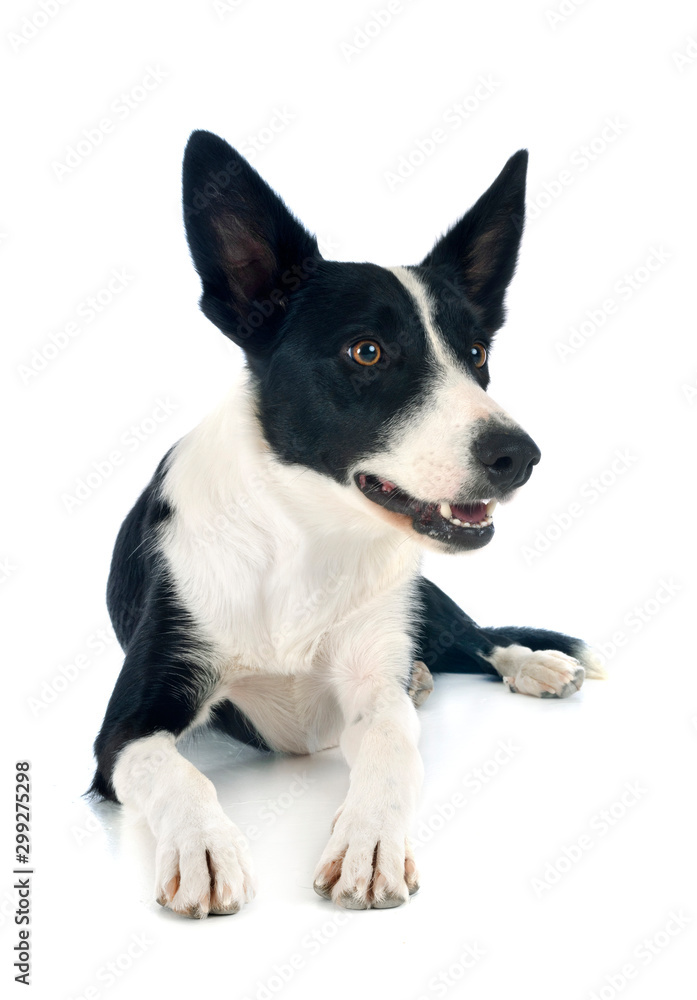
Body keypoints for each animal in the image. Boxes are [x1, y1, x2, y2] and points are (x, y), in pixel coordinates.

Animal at [89, 129, 604, 916]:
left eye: (477, 353)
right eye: (366, 350)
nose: (518, 456)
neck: (304, 541)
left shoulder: (372, 688)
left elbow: (394, 747)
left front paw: (370, 843)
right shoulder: (123, 731)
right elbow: (177, 771)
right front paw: (205, 847)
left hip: (424, 597)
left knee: (475, 637)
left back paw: (530, 663)